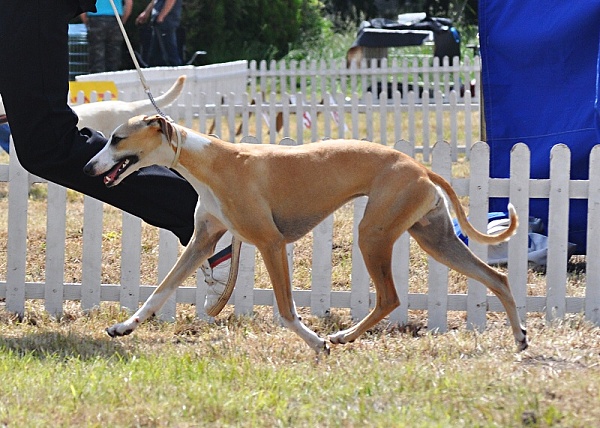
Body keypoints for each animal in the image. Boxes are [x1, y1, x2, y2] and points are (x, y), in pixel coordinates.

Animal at [82, 114, 528, 354]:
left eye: (117, 139)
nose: (87, 168)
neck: (212, 162)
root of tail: (421, 168)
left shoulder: (271, 243)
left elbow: (285, 309)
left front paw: (316, 343)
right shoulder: (202, 240)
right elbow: (161, 289)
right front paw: (124, 327)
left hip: (373, 235)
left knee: (390, 297)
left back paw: (341, 336)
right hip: (435, 239)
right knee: (497, 277)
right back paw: (520, 337)